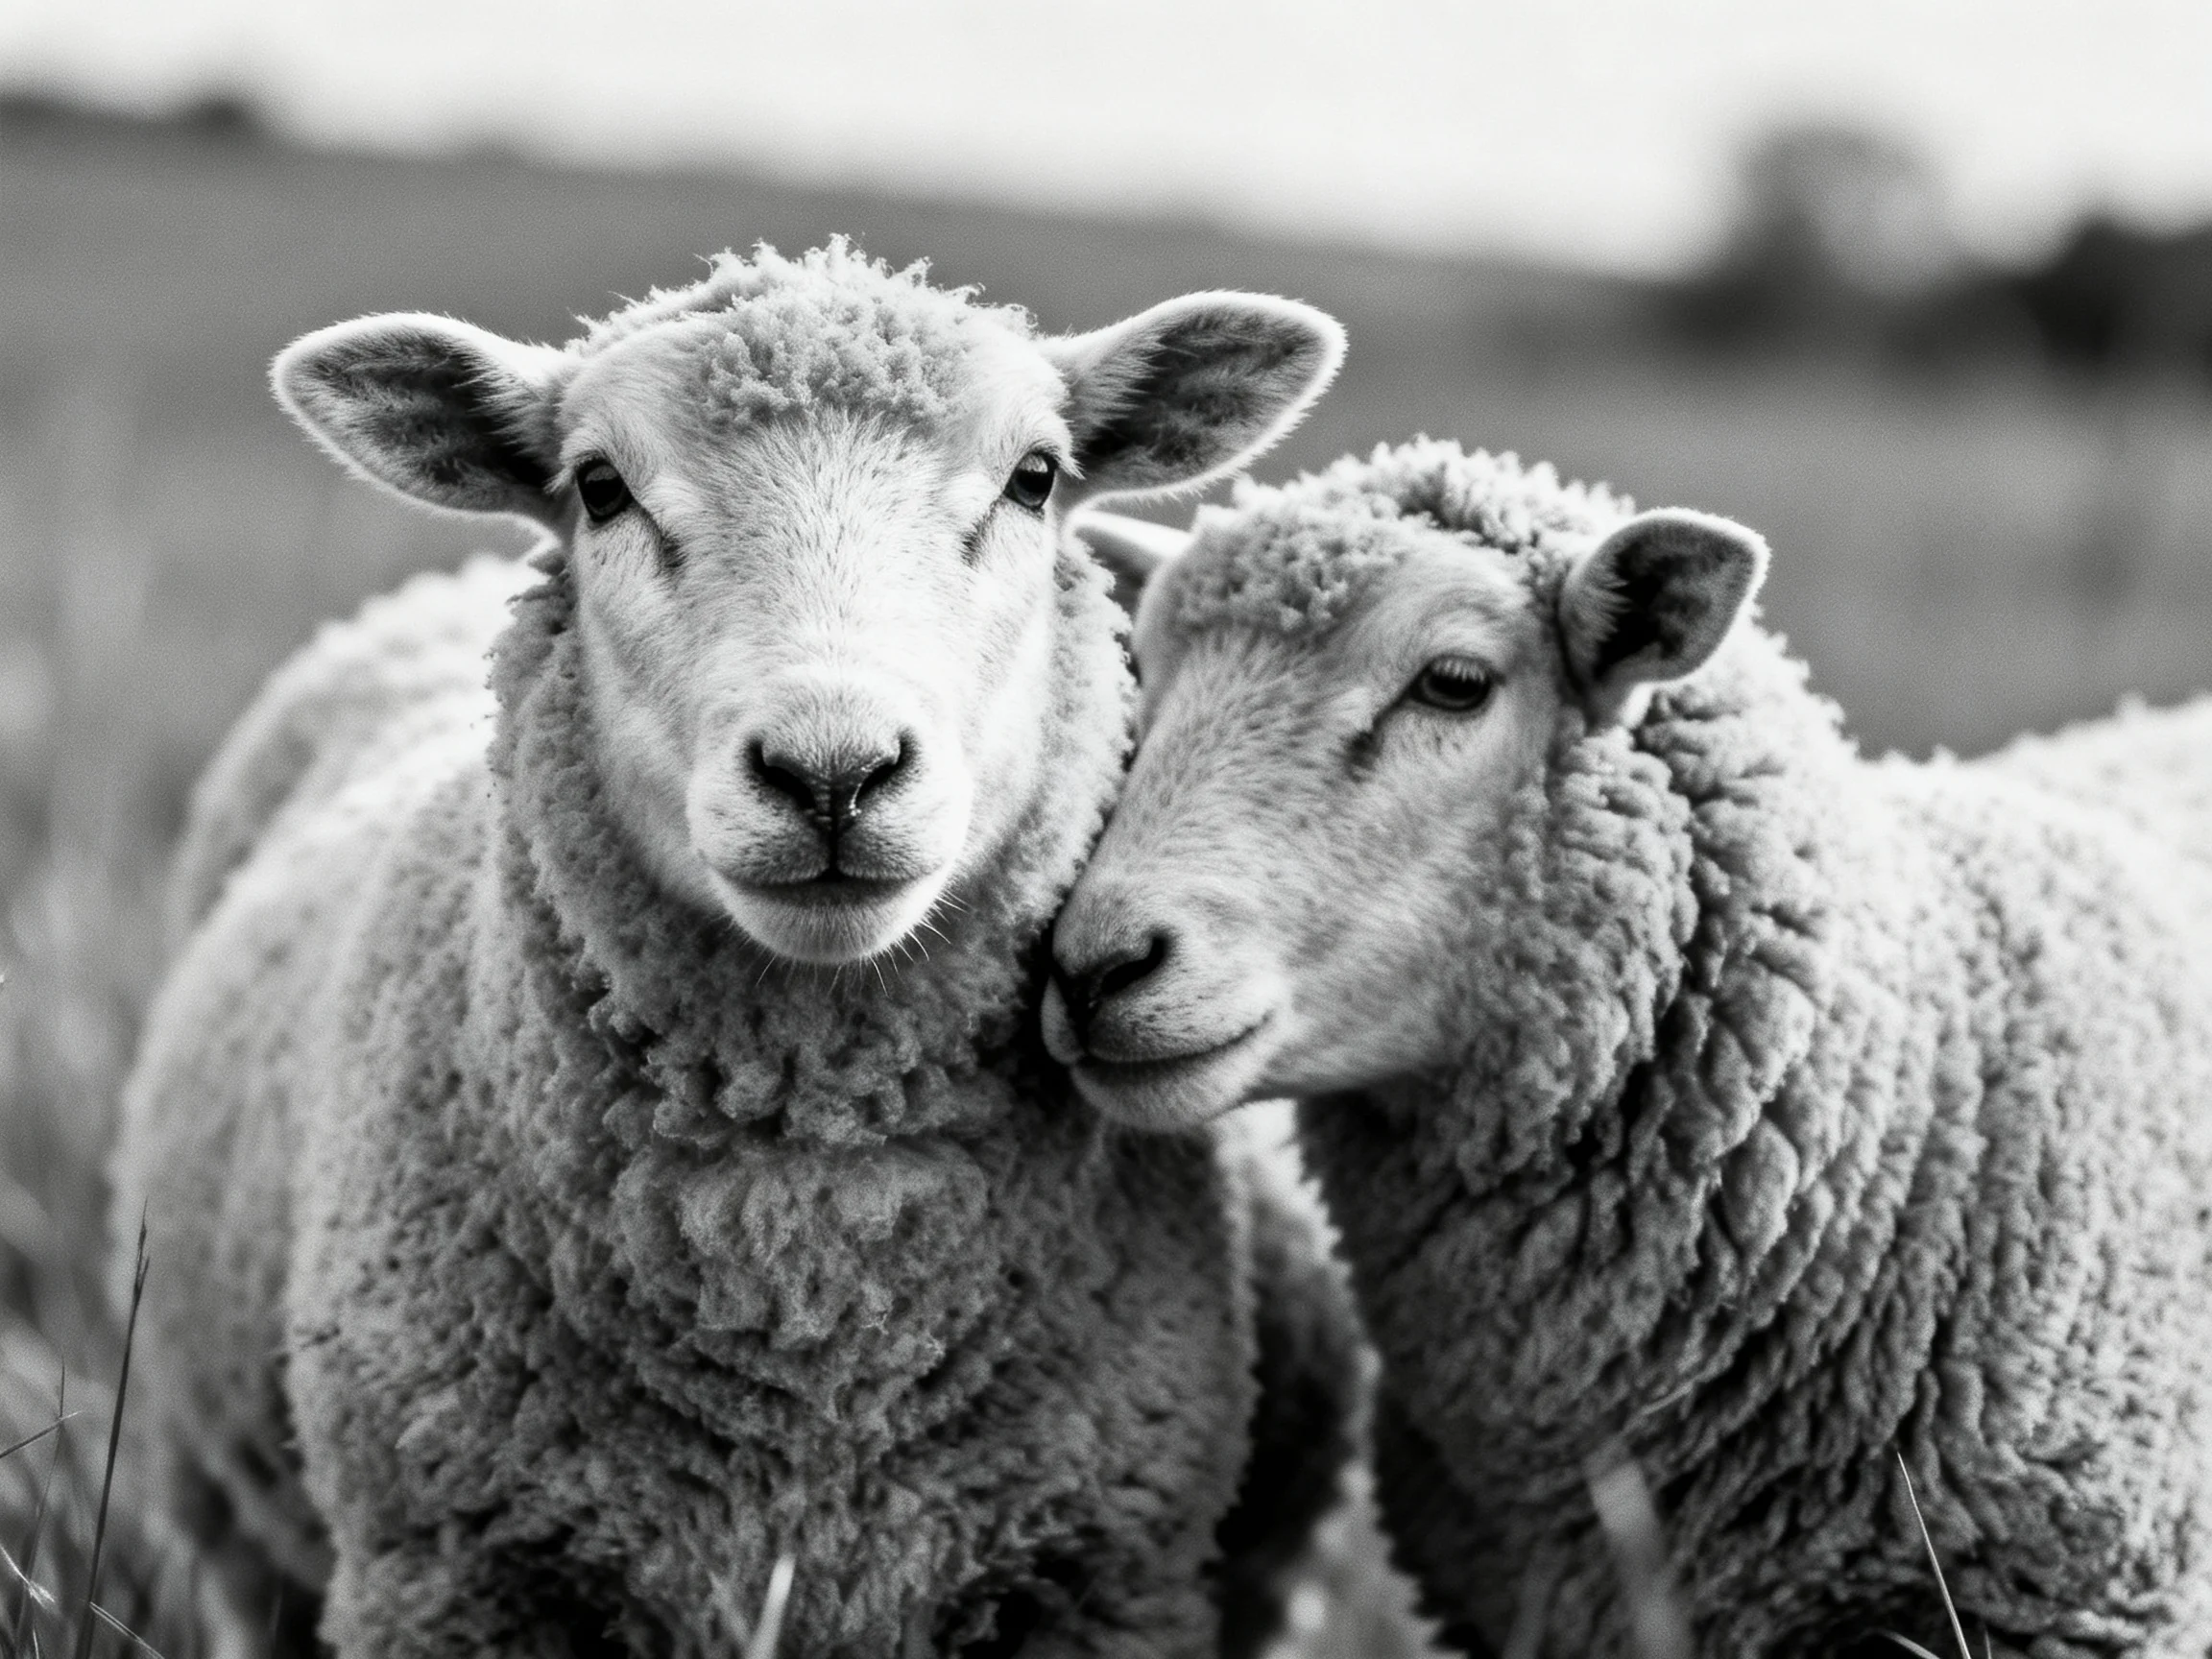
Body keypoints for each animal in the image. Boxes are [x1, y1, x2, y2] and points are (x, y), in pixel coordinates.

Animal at [109, 241, 1360, 1659]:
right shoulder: (455, 1574)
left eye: (1036, 478)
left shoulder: (1104, 1580)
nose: (833, 772)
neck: (810, 1256)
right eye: (600, 487)